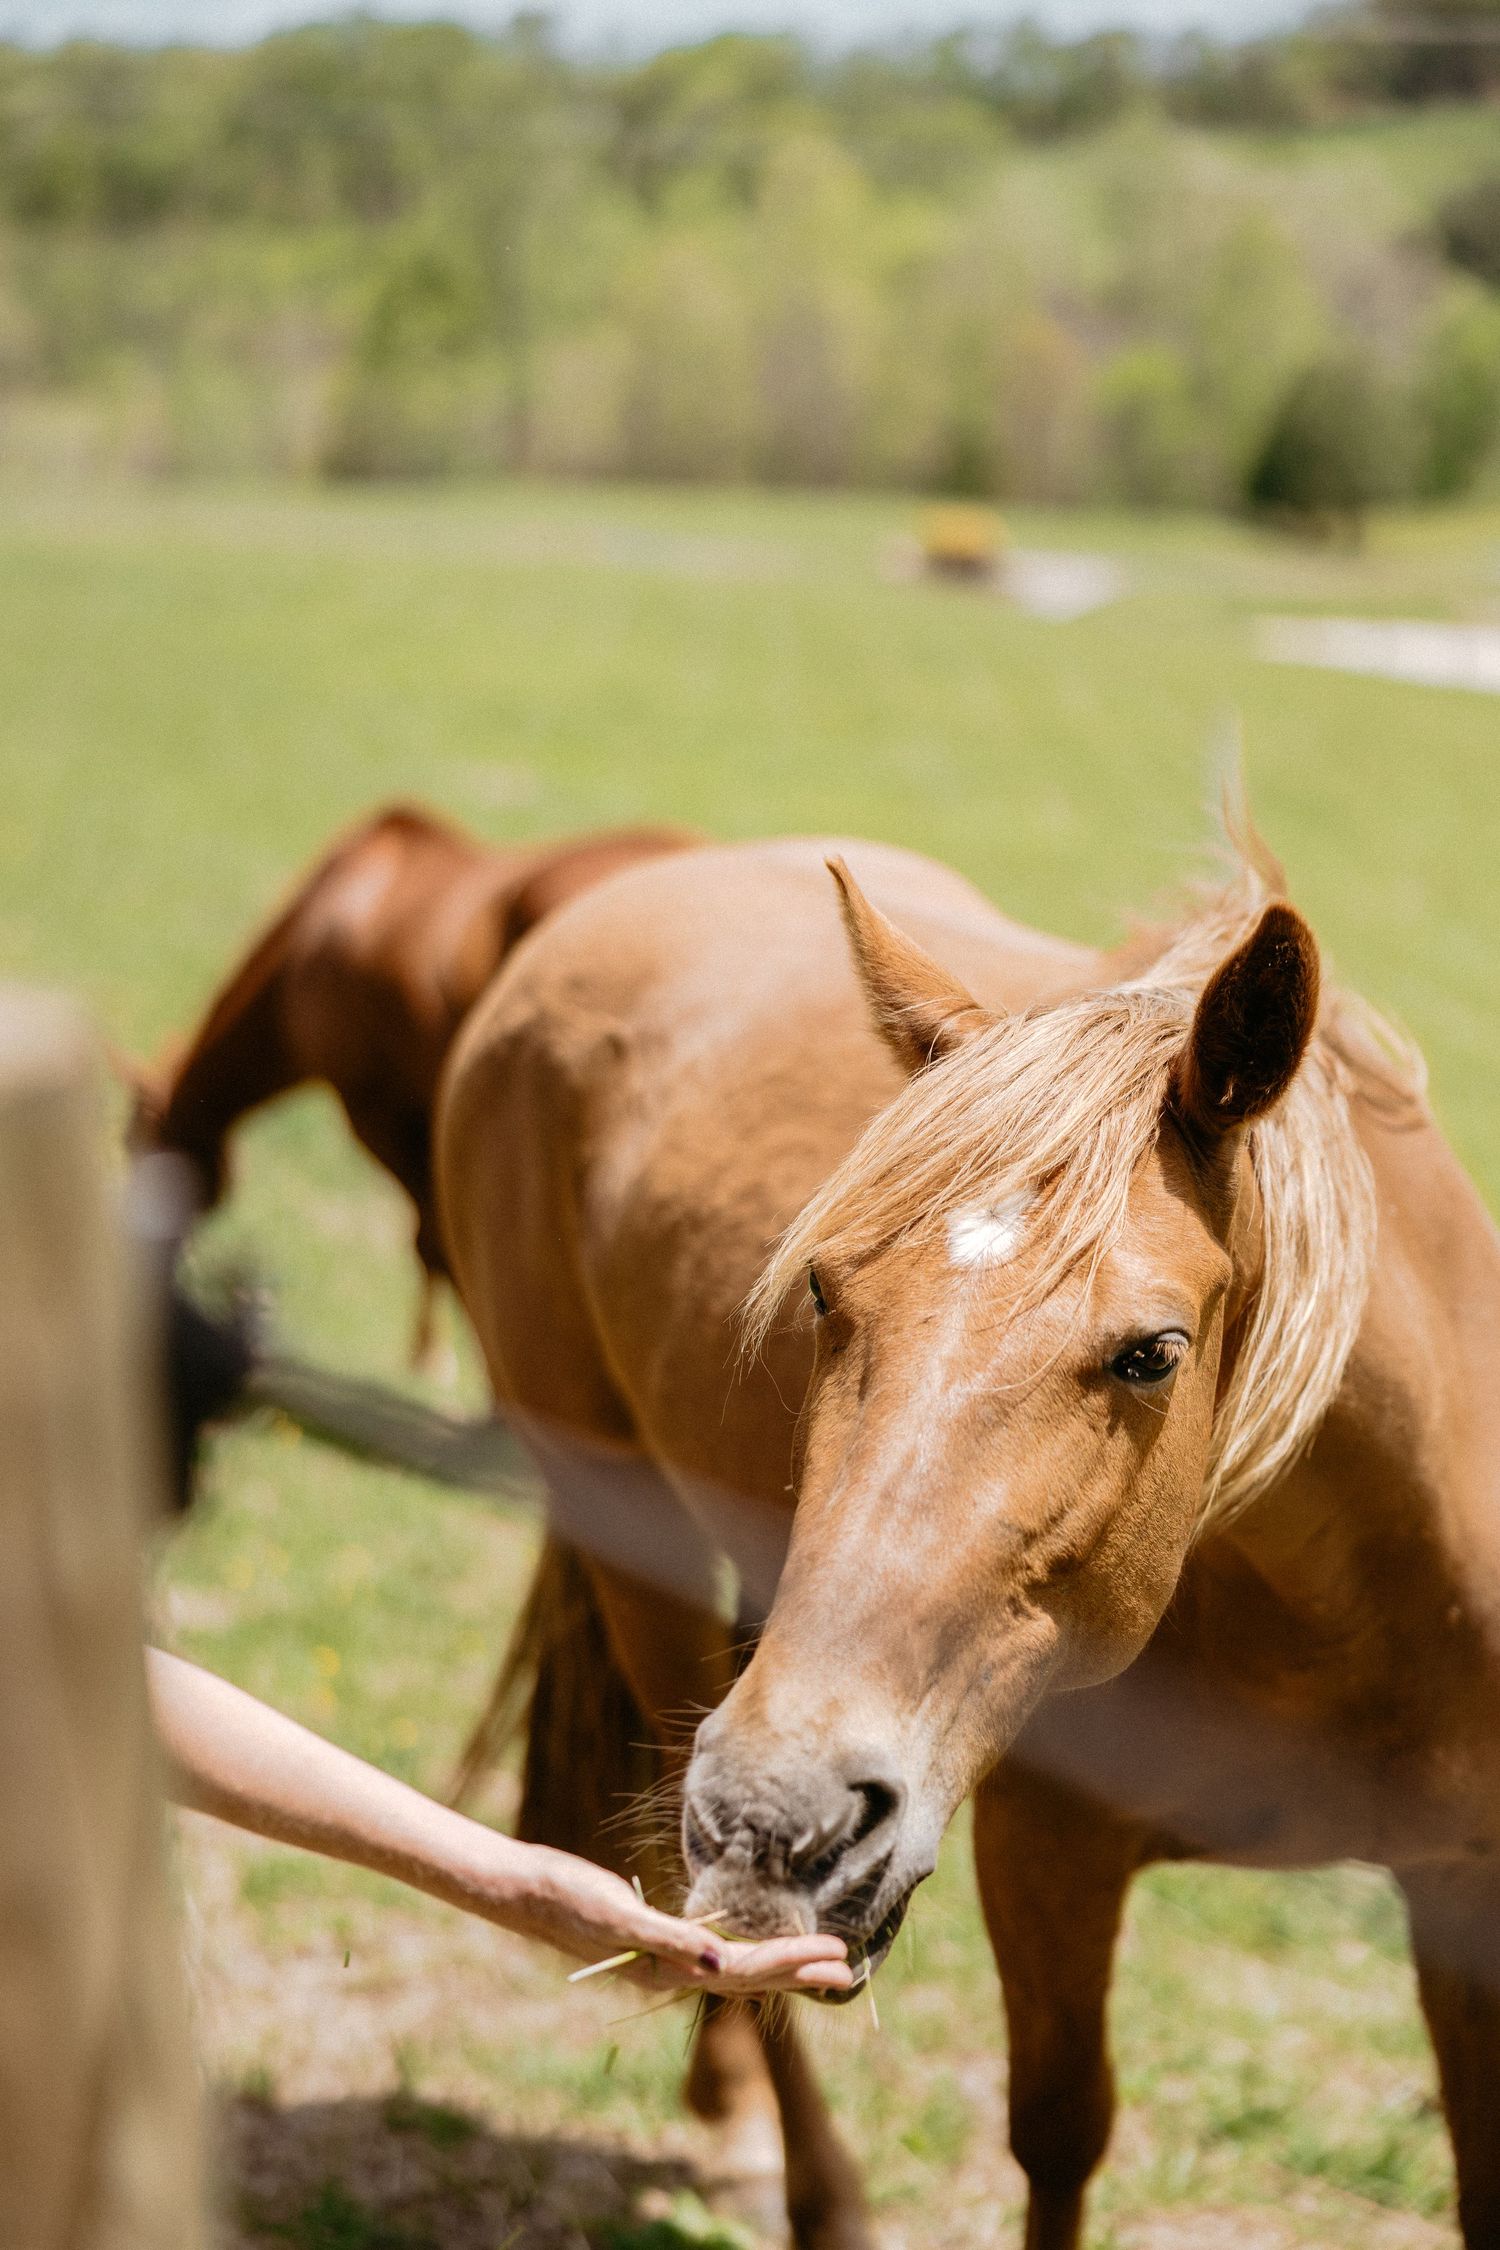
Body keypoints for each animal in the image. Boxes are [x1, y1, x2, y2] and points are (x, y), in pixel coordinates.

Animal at [437, 823, 1500, 2250]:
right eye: (823, 1290)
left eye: (1152, 1352)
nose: (781, 1821)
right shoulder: (1048, 1845)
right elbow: (1059, 2131)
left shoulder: (1466, 1892)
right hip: (638, 1566)